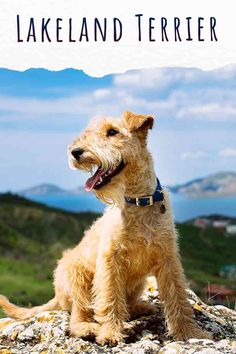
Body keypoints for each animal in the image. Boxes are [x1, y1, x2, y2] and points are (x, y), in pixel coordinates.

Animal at [0, 111, 206, 346]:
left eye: (112, 132)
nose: (75, 152)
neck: (138, 202)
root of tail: (57, 295)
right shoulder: (110, 261)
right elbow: (110, 299)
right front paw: (109, 333)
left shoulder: (168, 259)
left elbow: (178, 297)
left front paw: (189, 333)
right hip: (77, 277)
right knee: (78, 316)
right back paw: (88, 328)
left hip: (138, 283)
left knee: (126, 305)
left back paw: (141, 307)